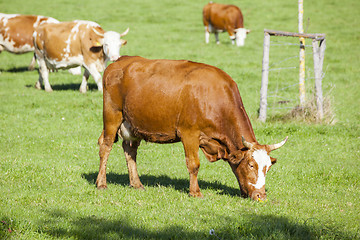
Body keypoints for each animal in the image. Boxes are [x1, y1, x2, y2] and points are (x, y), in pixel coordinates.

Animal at [95, 55, 286, 201]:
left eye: (268, 168)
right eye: (251, 165)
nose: (261, 196)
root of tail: (121, 60)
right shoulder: (189, 134)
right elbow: (194, 164)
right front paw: (195, 192)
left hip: (132, 125)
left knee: (130, 151)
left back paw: (137, 184)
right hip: (112, 116)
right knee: (106, 146)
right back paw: (101, 183)